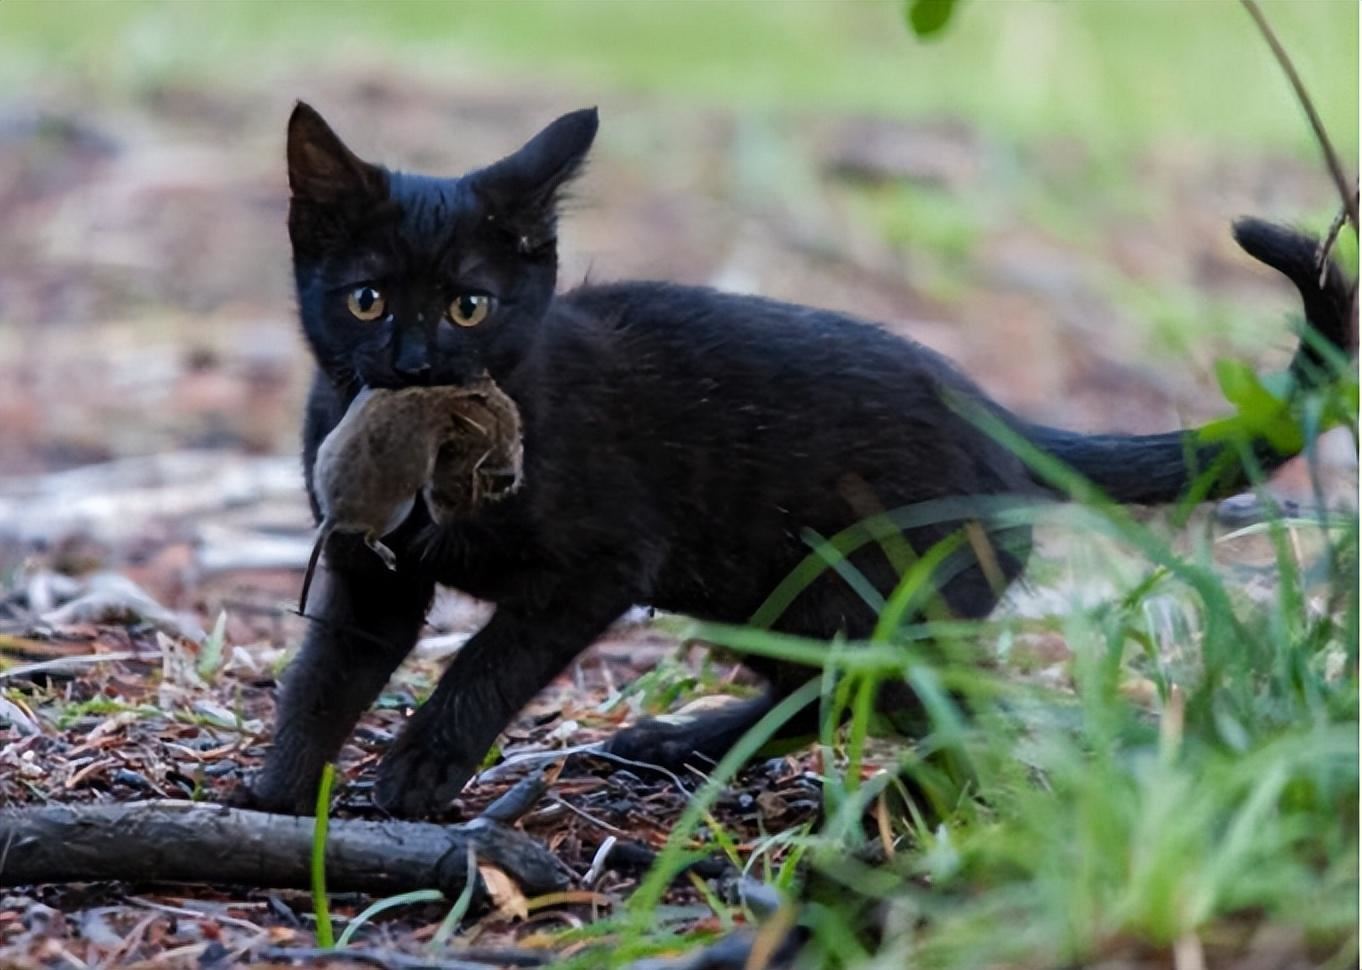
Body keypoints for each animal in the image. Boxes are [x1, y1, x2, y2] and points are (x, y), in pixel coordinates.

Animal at [253, 102, 1351, 817]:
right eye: (367, 299)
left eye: (469, 306)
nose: (413, 364)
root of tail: (1001, 420)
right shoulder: (370, 577)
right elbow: (322, 678)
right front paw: (272, 800)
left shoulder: (599, 565)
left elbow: (488, 663)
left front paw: (419, 772)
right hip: (771, 593)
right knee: (821, 690)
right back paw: (683, 746)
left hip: (873, 601)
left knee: (942, 706)